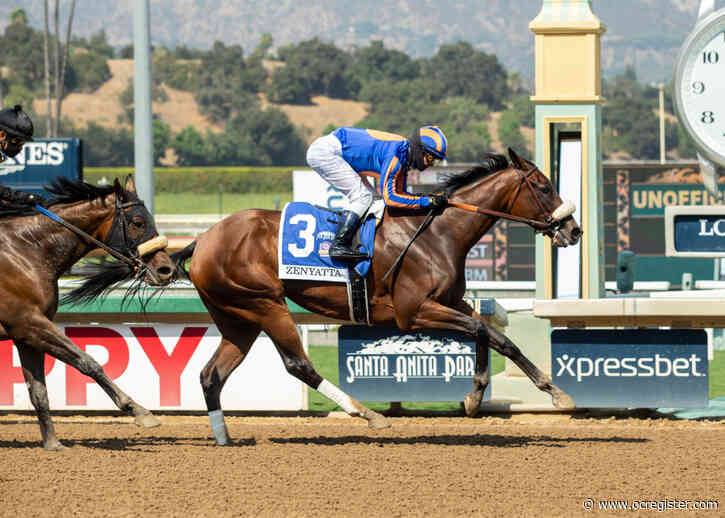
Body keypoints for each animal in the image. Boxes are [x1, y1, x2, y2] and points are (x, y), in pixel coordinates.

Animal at [0, 176, 175, 450]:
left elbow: (38, 391)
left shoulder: (26, 334)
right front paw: (138, 410)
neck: (27, 250)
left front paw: (52, 443)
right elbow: (88, 362)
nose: (166, 269)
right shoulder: (28, 322)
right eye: (138, 222)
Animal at [171, 148, 582, 445]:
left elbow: (487, 331)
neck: (438, 233)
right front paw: (553, 392)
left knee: (211, 374)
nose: (574, 230)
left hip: (236, 316)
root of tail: (202, 239)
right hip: (264, 303)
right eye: (544, 187)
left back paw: (224, 437)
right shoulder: (414, 311)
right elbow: (490, 333)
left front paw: (477, 397)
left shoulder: (451, 302)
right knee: (297, 364)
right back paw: (367, 414)